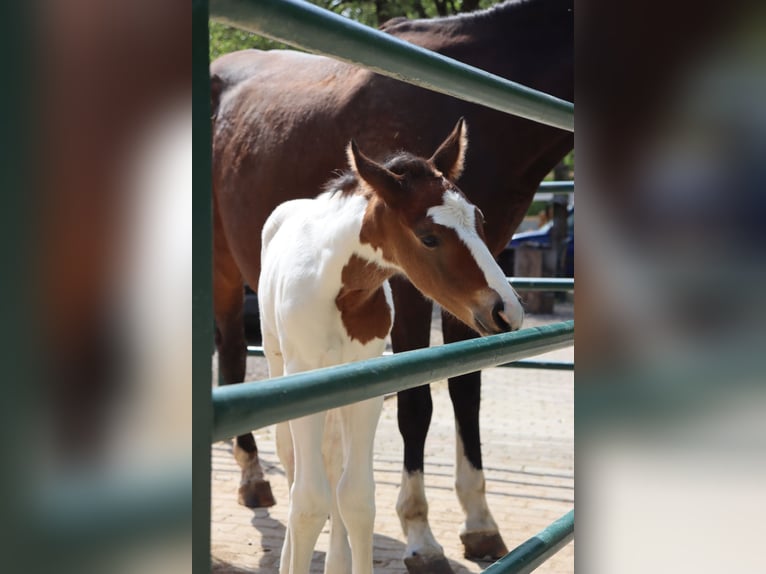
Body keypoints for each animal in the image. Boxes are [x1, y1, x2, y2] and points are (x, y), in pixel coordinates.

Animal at [260, 119, 524, 572]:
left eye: (478, 218)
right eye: (428, 237)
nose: (507, 311)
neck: (342, 293)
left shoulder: (365, 385)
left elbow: (356, 498)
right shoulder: (302, 374)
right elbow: (307, 501)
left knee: (333, 463)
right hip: (279, 363)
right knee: (293, 463)